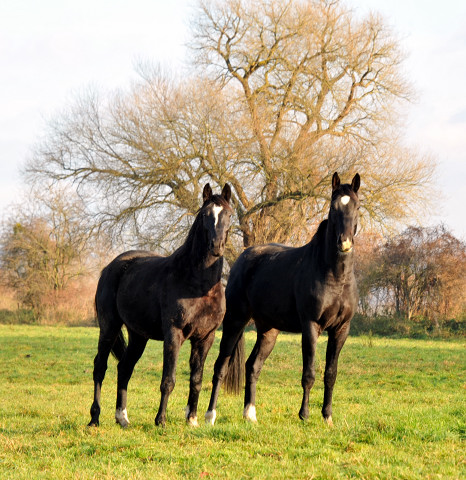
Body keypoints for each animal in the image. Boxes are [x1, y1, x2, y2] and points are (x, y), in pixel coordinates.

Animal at [88, 184, 233, 428]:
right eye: (205, 215)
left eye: (229, 215)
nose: (216, 247)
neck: (198, 284)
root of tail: (110, 267)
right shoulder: (173, 334)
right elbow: (168, 380)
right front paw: (161, 421)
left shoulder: (206, 337)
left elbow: (196, 379)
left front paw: (192, 419)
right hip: (109, 327)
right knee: (100, 367)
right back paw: (94, 418)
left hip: (138, 335)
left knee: (124, 368)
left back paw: (122, 418)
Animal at [205, 173, 360, 428]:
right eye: (333, 206)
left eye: (357, 206)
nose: (344, 242)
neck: (334, 275)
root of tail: (242, 258)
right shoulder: (311, 327)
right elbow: (309, 373)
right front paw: (304, 415)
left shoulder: (341, 329)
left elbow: (330, 374)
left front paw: (327, 416)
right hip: (235, 322)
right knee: (221, 366)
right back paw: (210, 415)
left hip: (269, 330)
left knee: (252, 366)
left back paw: (250, 414)